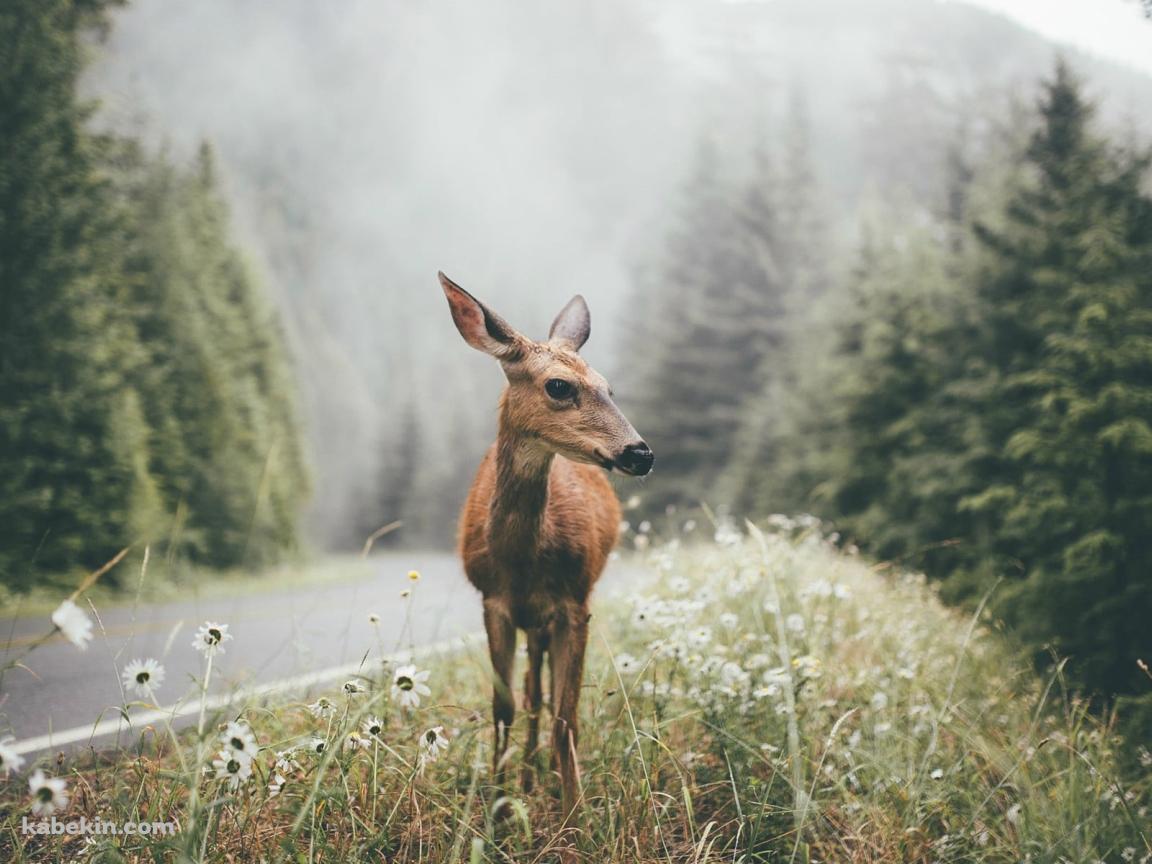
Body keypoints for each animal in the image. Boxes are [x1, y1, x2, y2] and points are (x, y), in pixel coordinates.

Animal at [438, 271, 654, 824]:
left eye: (609, 387)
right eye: (559, 385)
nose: (640, 453)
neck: (520, 564)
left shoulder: (574, 603)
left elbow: (566, 713)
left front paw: (575, 816)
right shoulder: (493, 602)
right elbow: (504, 707)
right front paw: (496, 810)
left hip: (553, 615)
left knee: (547, 695)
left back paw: (543, 778)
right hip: (530, 620)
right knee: (532, 692)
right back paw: (528, 778)